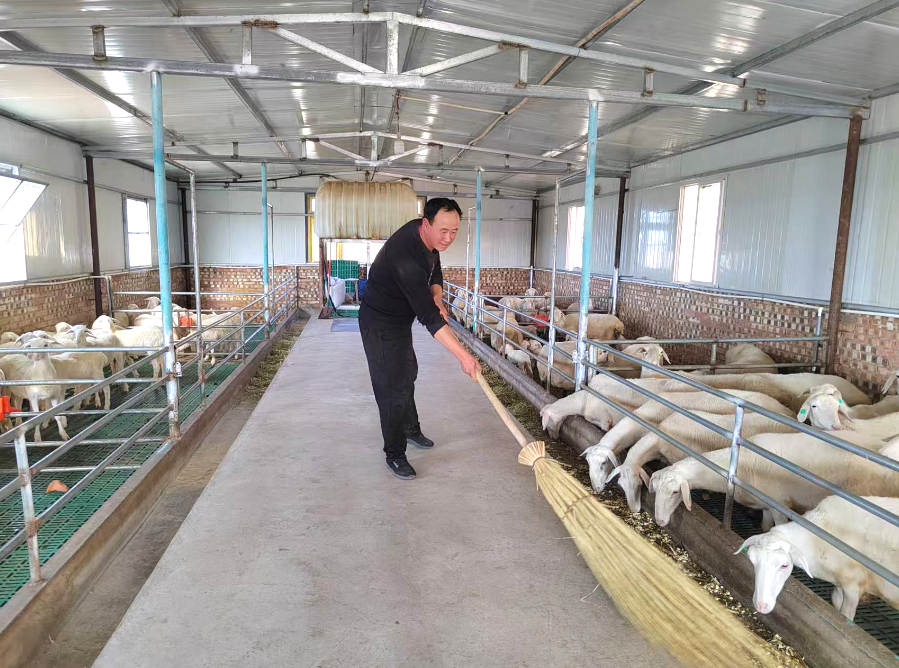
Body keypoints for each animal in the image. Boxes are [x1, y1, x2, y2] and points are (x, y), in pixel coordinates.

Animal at [650, 429, 894, 529]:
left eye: (675, 492)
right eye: (656, 489)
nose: (659, 521)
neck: (740, 464)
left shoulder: (779, 505)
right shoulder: (766, 505)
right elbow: (765, 527)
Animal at [737, 495, 899, 620]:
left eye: (784, 565)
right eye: (752, 560)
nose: (761, 606)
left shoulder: (853, 587)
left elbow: (846, 617)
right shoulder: (840, 585)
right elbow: (836, 604)